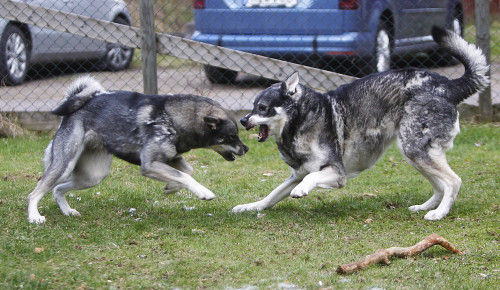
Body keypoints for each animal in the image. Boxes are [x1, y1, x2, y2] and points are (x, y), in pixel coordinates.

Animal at [26, 76, 249, 223]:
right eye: (232, 136)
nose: (246, 148)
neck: (173, 118)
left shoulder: (171, 159)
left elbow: (187, 172)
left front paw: (171, 187)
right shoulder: (150, 164)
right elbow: (185, 175)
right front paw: (203, 192)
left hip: (93, 176)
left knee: (56, 189)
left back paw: (68, 211)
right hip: (65, 165)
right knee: (37, 191)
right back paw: (34, 216)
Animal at [233, 26, 488, 220]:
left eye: (262, 108)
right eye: (252, 106)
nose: (243, 120)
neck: (301, 122)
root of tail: (448, 85)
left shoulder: (337, 174)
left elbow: (310, 178)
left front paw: (303, 189)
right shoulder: (295, 175)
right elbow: (271, 195)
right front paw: (250, 207)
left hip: (415, 151)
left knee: (453, 182)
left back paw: (439, 213)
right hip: (414, 155)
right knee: (439, 185)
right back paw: (425, 207)